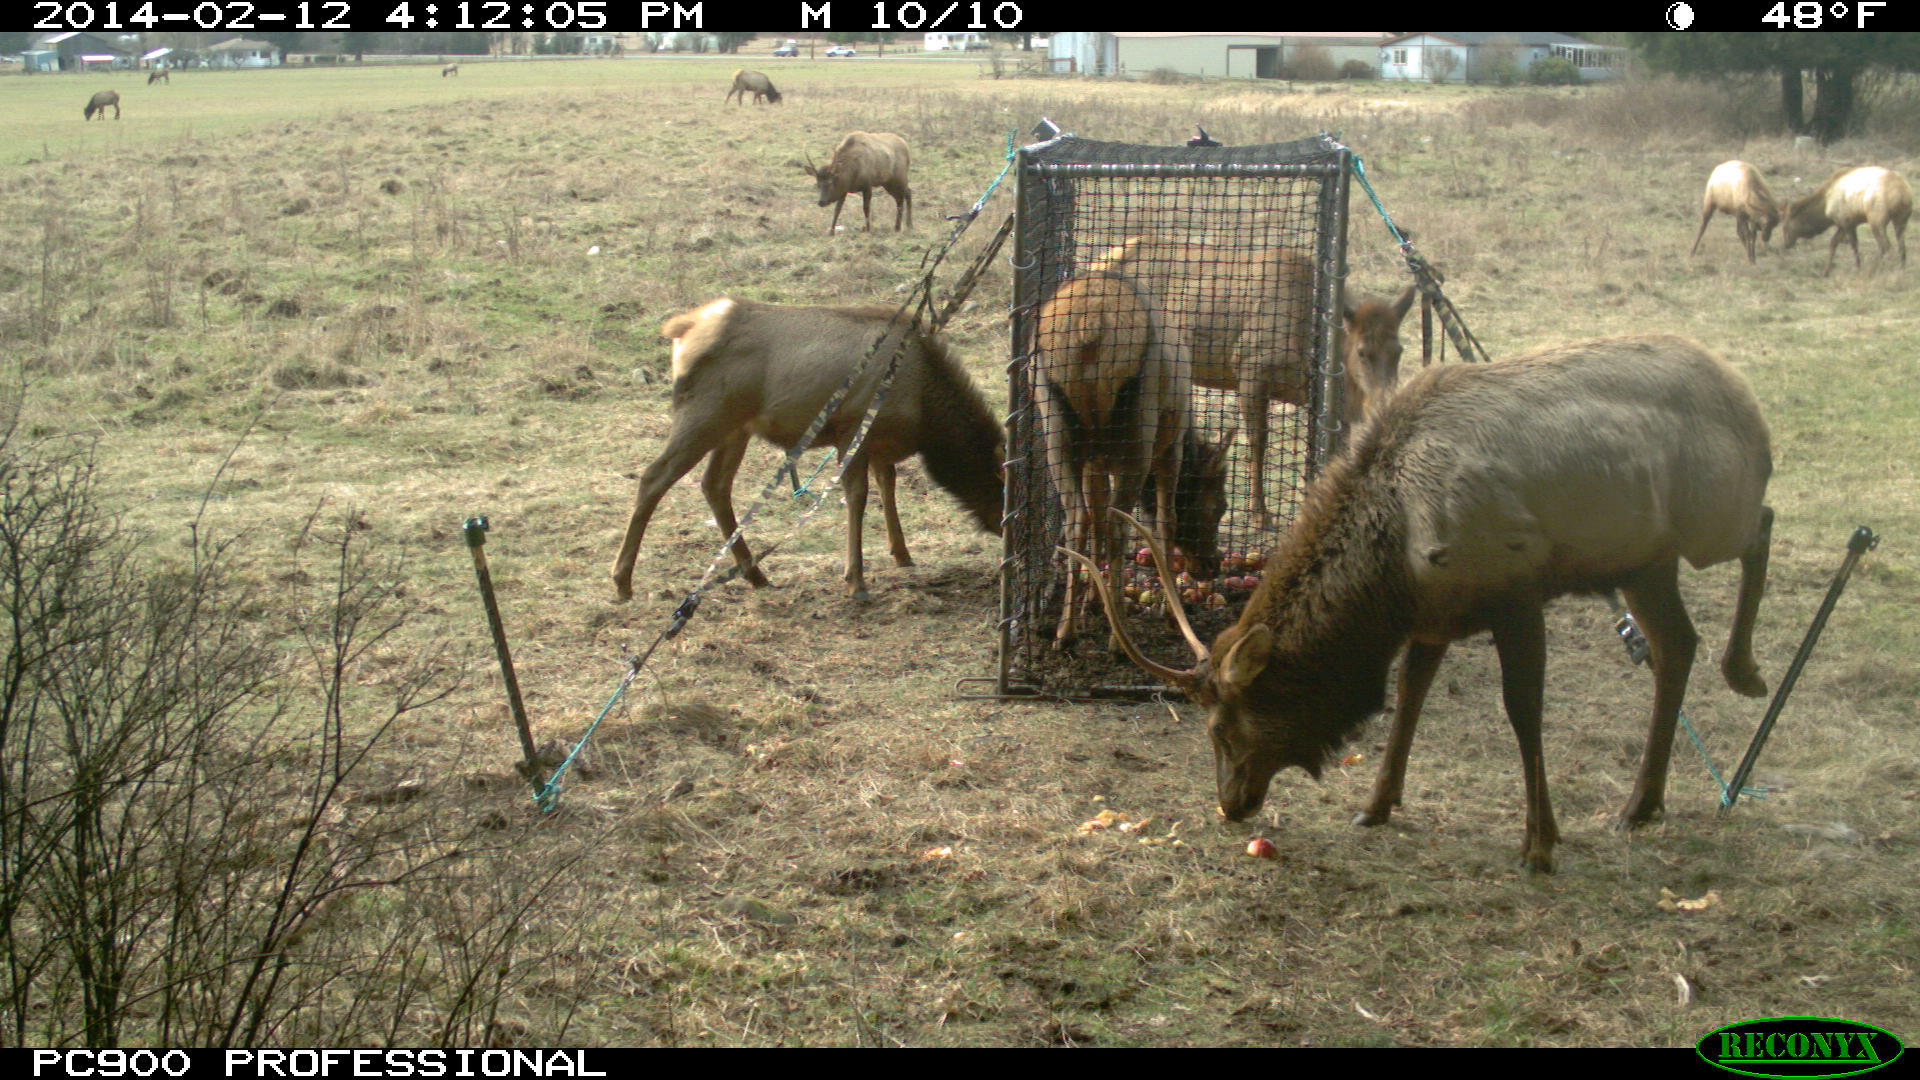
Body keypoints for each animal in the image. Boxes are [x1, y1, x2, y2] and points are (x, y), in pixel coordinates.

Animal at [610, 297, 1006, 599]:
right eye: (1006, 491)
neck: (924, 415)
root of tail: (682, 329)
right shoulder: (853, 427)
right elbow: (857, 495)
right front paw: (856, 581)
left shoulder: (879, 443)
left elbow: (887, 485)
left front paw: (902, 554)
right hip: (705, 414)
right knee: (654, 477)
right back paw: (622, 581)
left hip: (735, 427)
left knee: (715, 485)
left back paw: (756, 574)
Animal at [1036, 267, 1228, 645]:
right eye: (1221, 506)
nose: (1211, 564)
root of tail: (1089, 325)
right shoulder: (1170, 447)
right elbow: (1166, 519)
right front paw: (1170, 614)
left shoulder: (1096, 461)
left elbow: (1096, 513)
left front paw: (1093, 604)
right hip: (1139, 425)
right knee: (1118, 524)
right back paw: (1117, 638)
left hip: (1056, 426)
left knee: (1078, 518)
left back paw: (1066, 630)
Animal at [1067, 336, 1766, 876]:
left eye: (1224, 728)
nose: (1231, 804)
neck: (1394, 567)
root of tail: (1748, 404)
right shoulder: (1434, 614)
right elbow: (1407, 698)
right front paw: (1375, 806)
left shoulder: (1516, 591)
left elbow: (1523, 712)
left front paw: (1540, 842)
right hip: (1643, 561)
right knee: (1677, 644)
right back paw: (1641, 803)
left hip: (1710, 519)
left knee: (1763, 526)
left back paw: (1746, 672)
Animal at [1090, 235, 1420, 526]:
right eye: (1362, 352)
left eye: (1399, 351)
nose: (1383, 402)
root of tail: (1098, 260)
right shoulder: (1250, 370)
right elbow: (1258, 443)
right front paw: (1260, 514)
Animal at [1774, 165, 1912, 272]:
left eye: (1785, 226)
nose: (1785, 244)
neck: (1825, 206)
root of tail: (1901, 193)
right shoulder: (1845, 223)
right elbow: (1833, 243)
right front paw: (1826, 271)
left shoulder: (1846, 221)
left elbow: (1853, 245)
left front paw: (1857, 268)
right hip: (1902, 218)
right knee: (1901, 245)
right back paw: (1902, 268)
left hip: (1876, 219)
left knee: (1885, 246)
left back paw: (1875, 269)